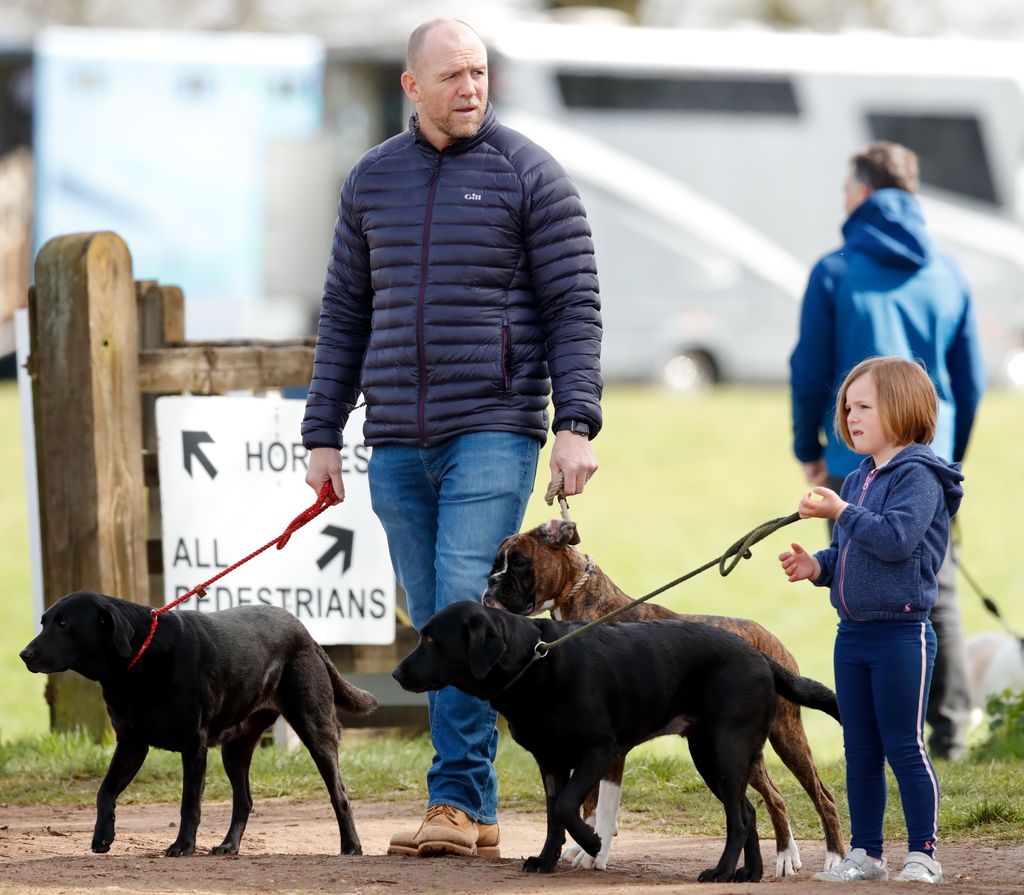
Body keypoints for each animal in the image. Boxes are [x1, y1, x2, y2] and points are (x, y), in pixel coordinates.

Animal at [485, 516, 847, 872]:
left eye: (520, 563)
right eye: (495, 564)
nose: (491, 583)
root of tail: (768, 640)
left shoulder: (613, 749)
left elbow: (599, 805)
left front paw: (593, 854)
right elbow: (585, 800)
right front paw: (581, 847)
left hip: (784, 736)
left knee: (822, 798)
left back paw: (832, 857)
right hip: (744, 750)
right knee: (775, 795)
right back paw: (786, 854)